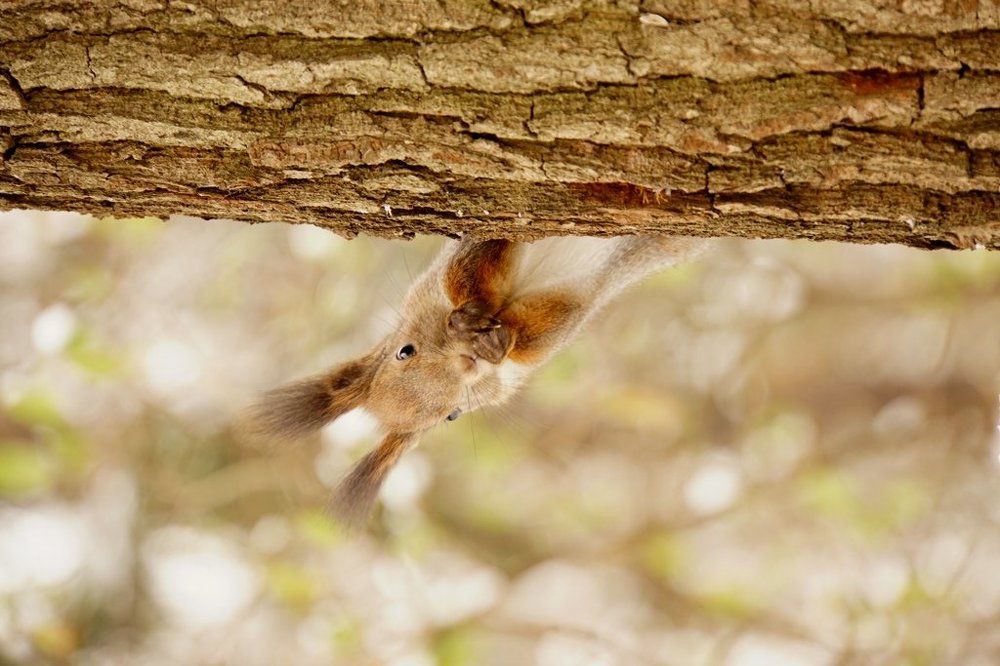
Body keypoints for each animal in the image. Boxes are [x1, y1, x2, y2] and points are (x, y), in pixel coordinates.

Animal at [242, 235, 709, 526]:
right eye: (452, 416)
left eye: (405, 350)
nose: (470, 363)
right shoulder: (560, 315)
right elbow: (537, 322)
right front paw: (481, 331)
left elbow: (472, 273)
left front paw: (471, 324)